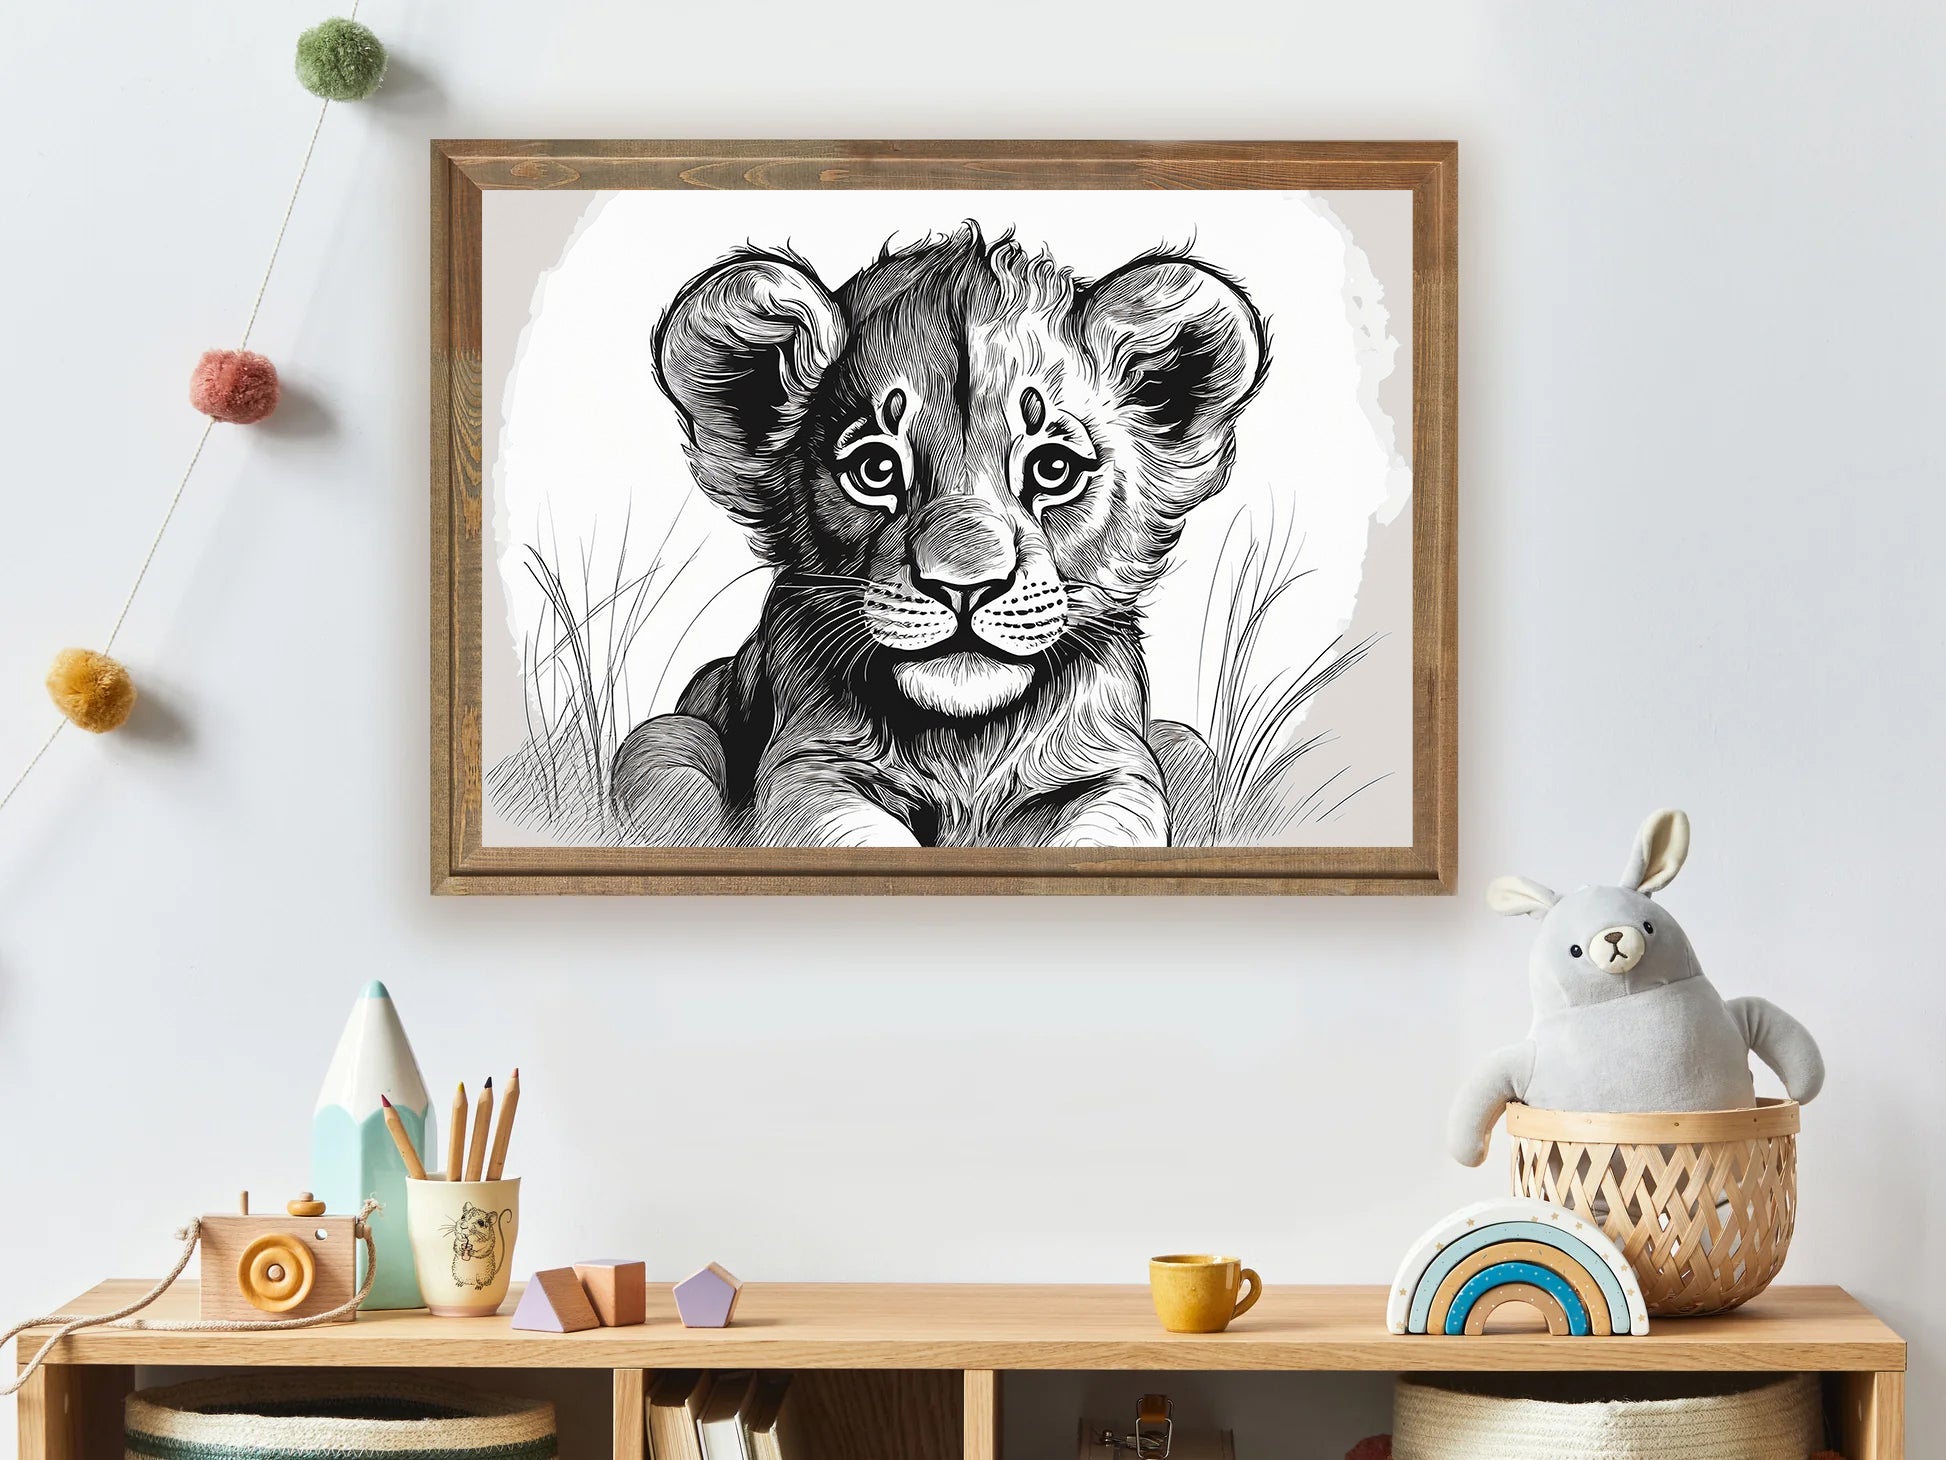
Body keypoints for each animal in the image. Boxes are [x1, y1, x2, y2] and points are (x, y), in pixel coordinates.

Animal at [611, 223, 1269, 848]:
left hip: (1189, 748)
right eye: (876, 469)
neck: (966, 738)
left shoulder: (1114, 773)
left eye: (1053, 469)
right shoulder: (812, 769)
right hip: (665, 737)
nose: (964, 587)